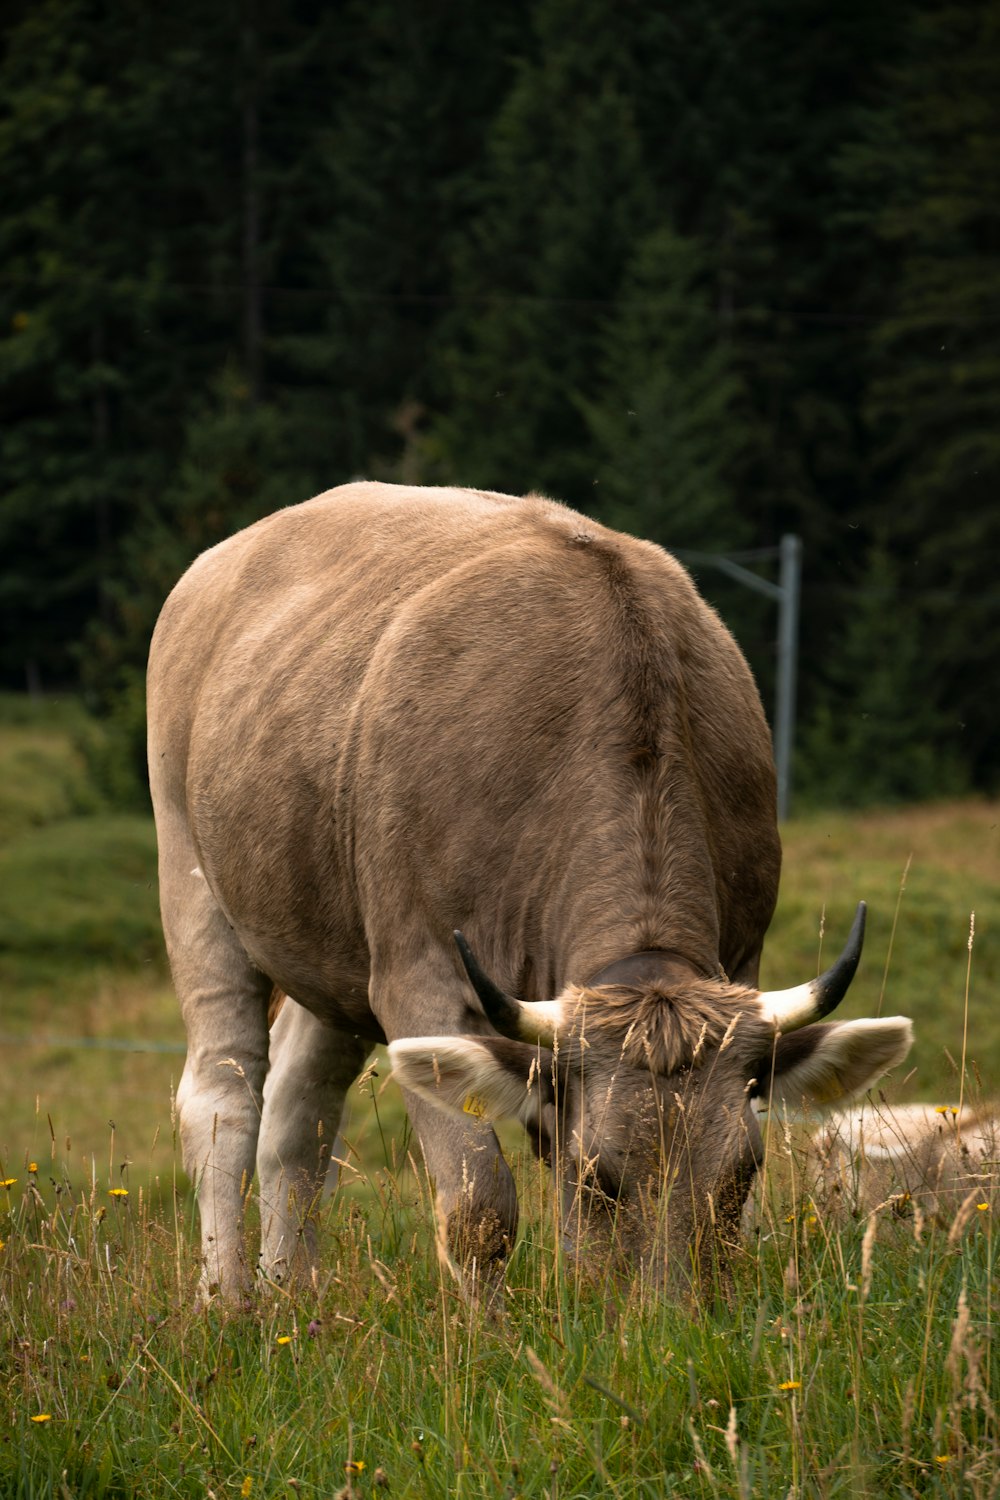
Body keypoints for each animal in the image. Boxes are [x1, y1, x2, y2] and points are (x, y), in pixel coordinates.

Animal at [146, 483, 917, 1302]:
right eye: (599, 1173)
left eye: (743, 1172)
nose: (672, 1317)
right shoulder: (419, 976)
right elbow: (479, 1206)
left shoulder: (737, 960)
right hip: (194, 880)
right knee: (223, 1098)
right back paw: (229, 1299)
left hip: (334, 952)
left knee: (298, 1113)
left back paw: (295, 1294)